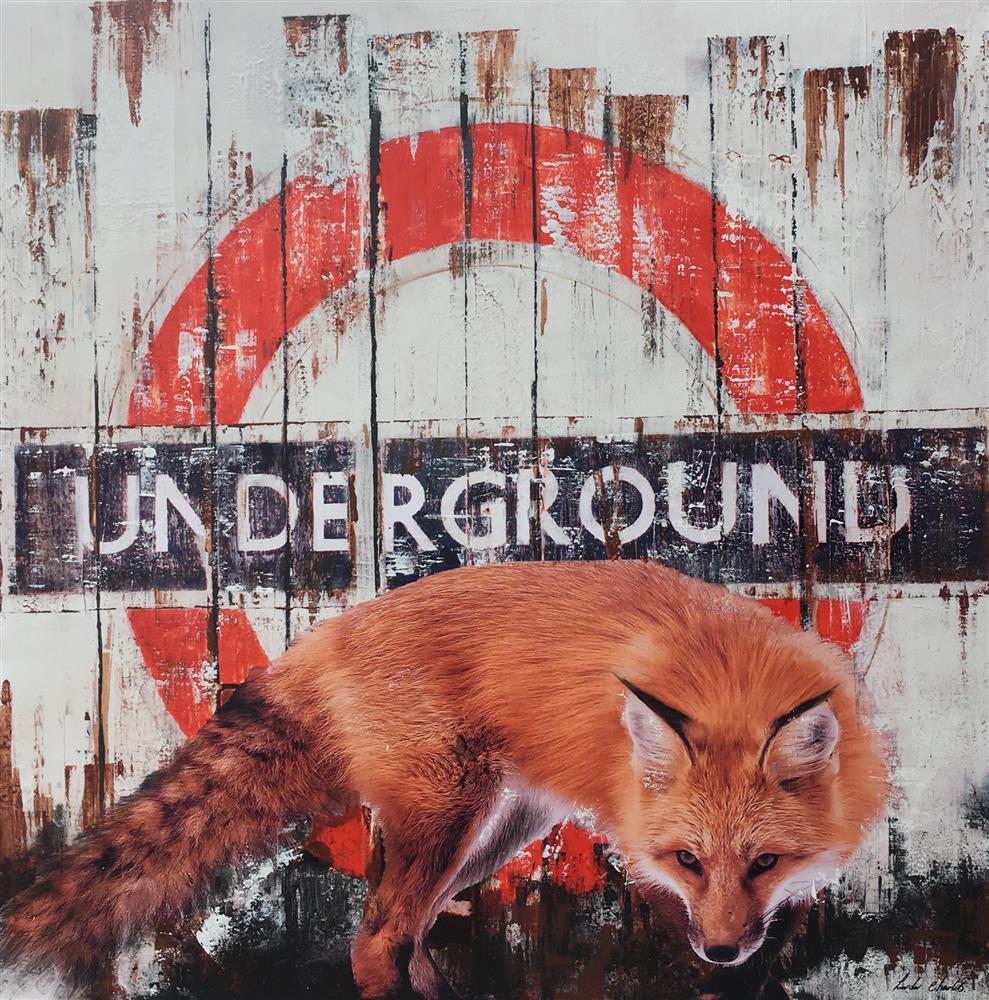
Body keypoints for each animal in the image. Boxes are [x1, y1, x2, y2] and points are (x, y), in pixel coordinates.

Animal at [0, 561, 890, 998]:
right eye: (688, 862)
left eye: (763, 862)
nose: (718, 950)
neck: (729, 683)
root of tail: (319, 641)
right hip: (448, 812)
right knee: (375, 941)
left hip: (495, 829)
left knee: (407, 934)